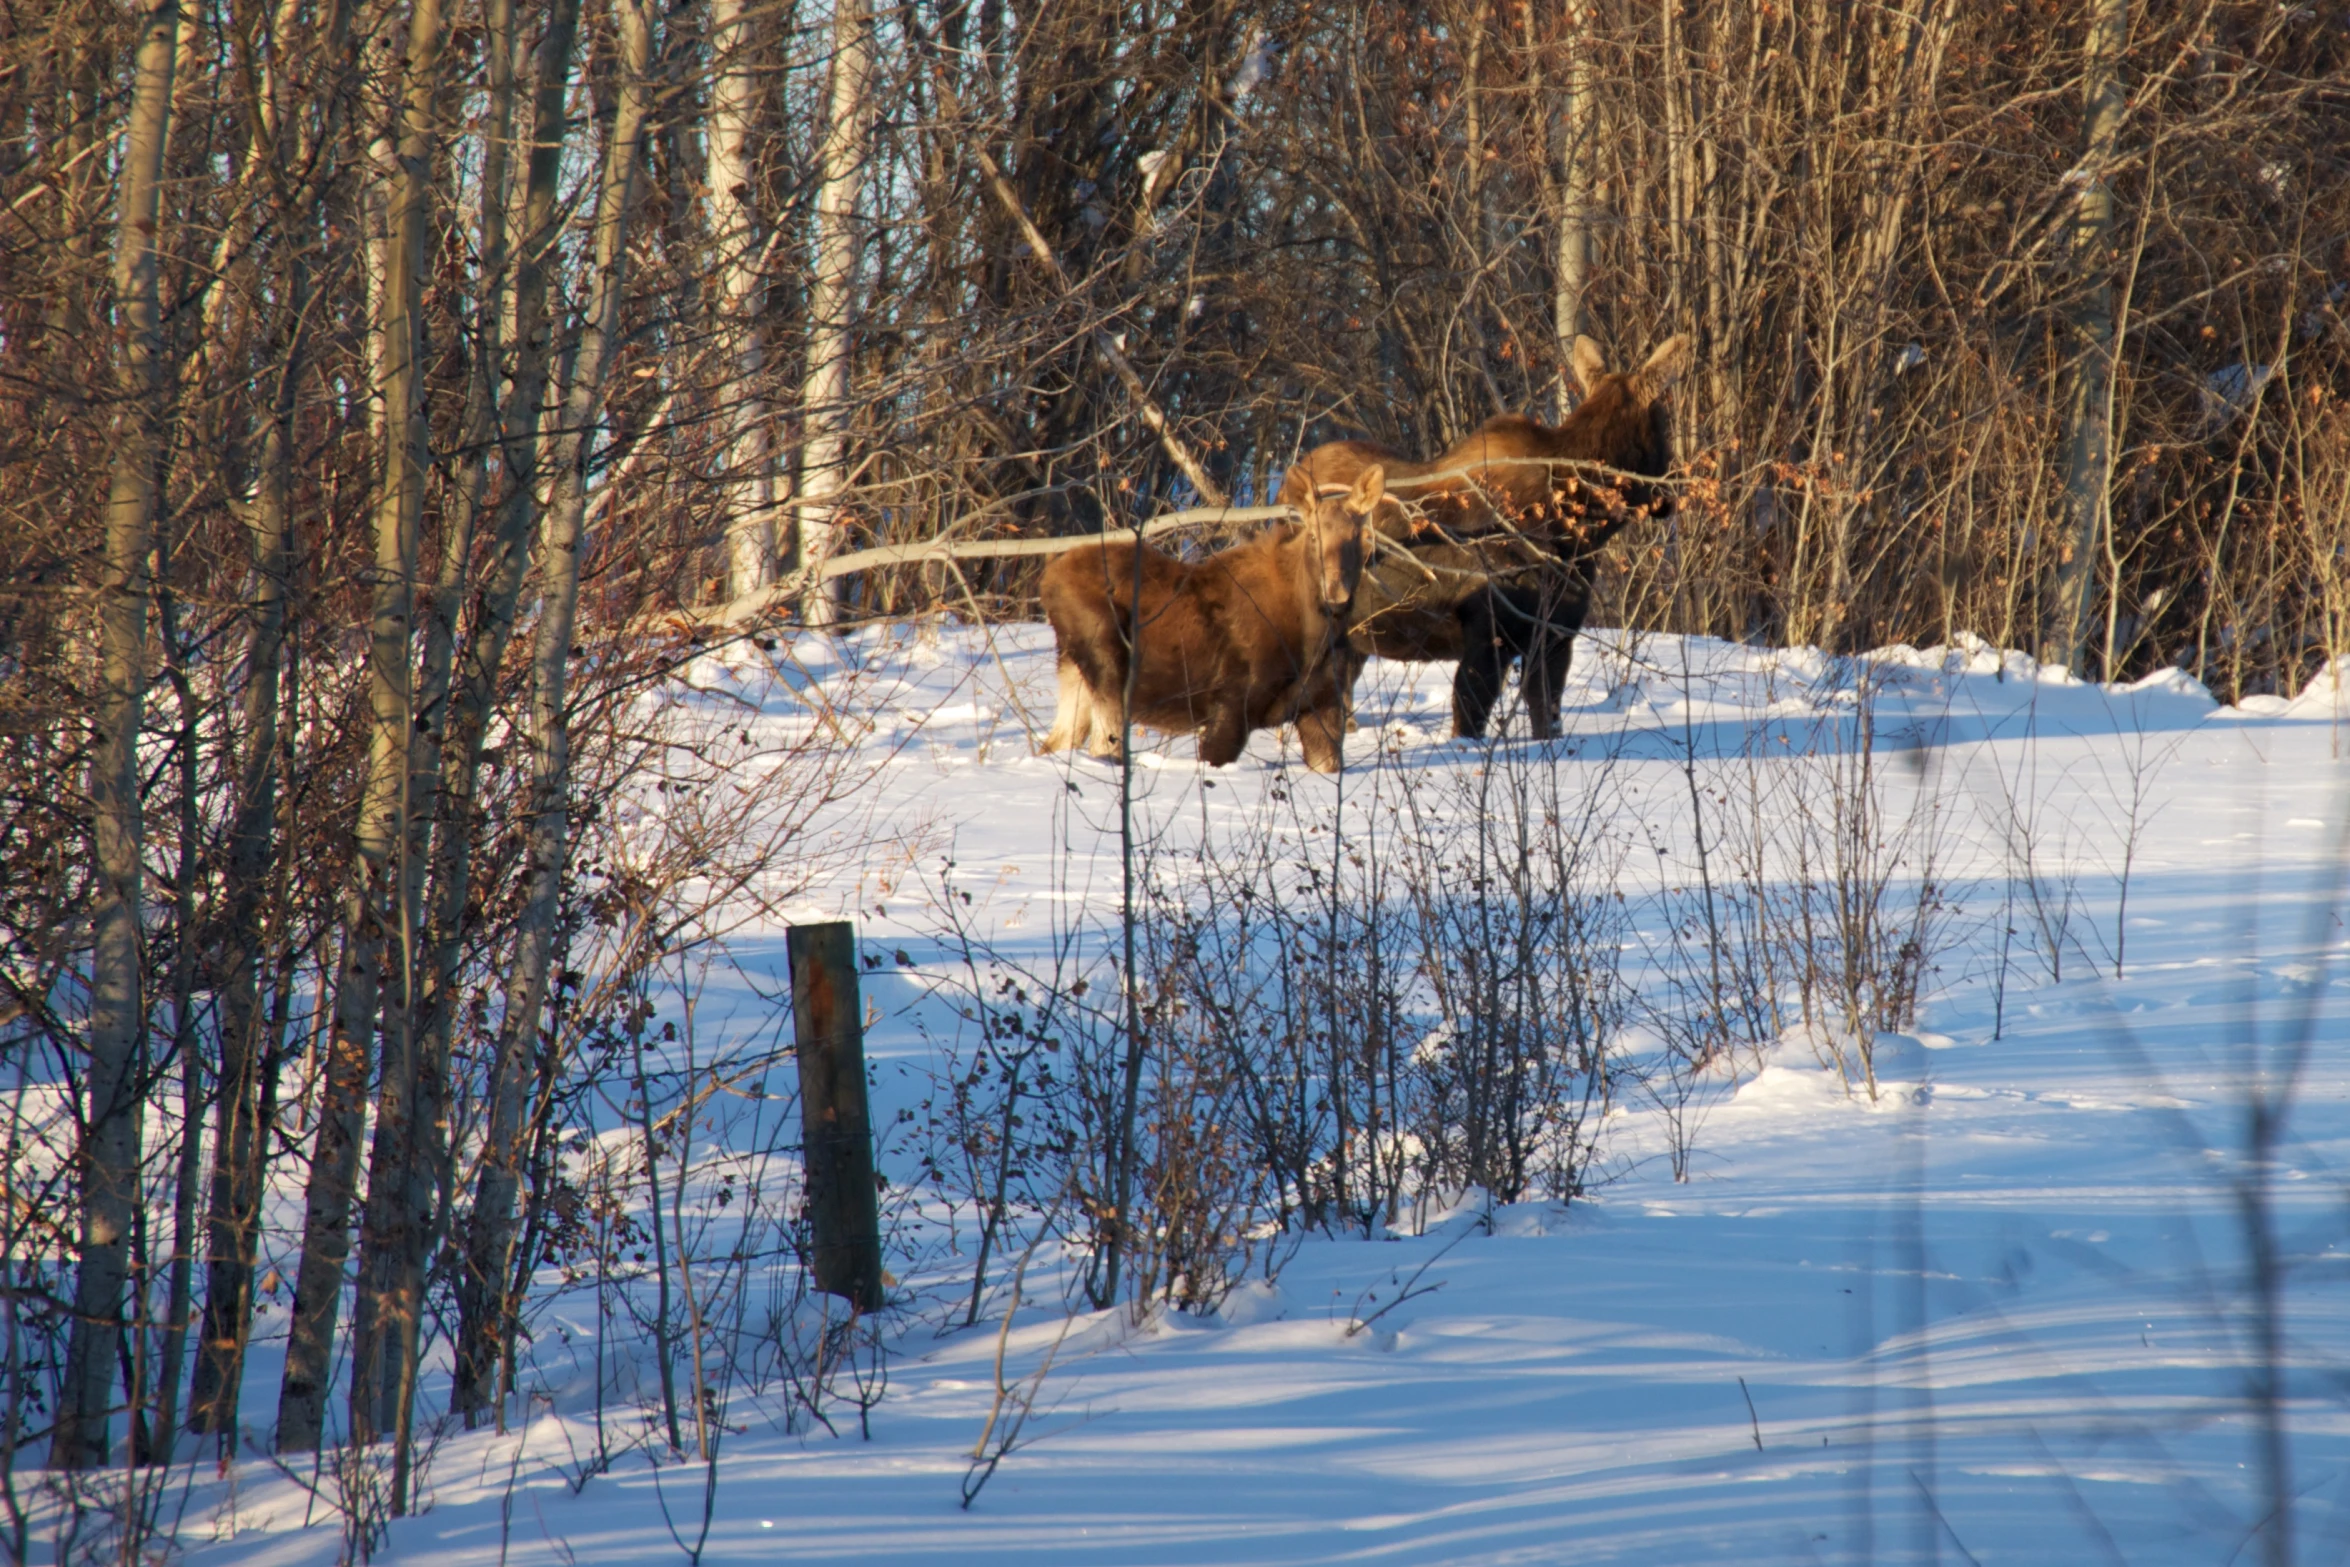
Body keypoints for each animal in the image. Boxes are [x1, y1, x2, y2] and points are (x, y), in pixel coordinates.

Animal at [1043, 462, 1381, 775]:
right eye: (1313, 535)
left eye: (1359, 536)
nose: (1335, 593)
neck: (1315, 636)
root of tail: (1047, 582)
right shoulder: (1230, 704)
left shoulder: (1322, 705)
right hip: (1107, 664)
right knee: (1102, 747)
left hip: (1073, 669)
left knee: (1058, 742)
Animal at [1287, 333, 1691, 737]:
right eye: (1664, 424)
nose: (1674, 489)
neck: (1582, 529)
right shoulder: (1490, 635)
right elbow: (1469, 719)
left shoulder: (1555, 636)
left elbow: (1547, 718)